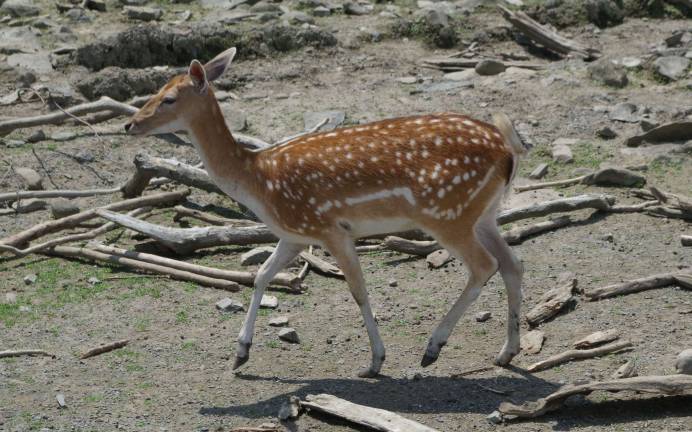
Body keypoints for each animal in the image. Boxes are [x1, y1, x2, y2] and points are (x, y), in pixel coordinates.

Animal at [123, 48, 524, 378]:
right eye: (157, 89)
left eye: (168, 98)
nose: (129, 124)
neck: (259, 182)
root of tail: (508, 150)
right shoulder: (295, 234)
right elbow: (261, 276)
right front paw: (240, 354)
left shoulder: (329, 227)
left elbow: (358, 290)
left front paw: (375, 361)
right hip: (482, 213)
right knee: (512, 263)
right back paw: (506, 352)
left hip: (446, 213)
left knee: (484, 265)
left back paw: (433, 348)